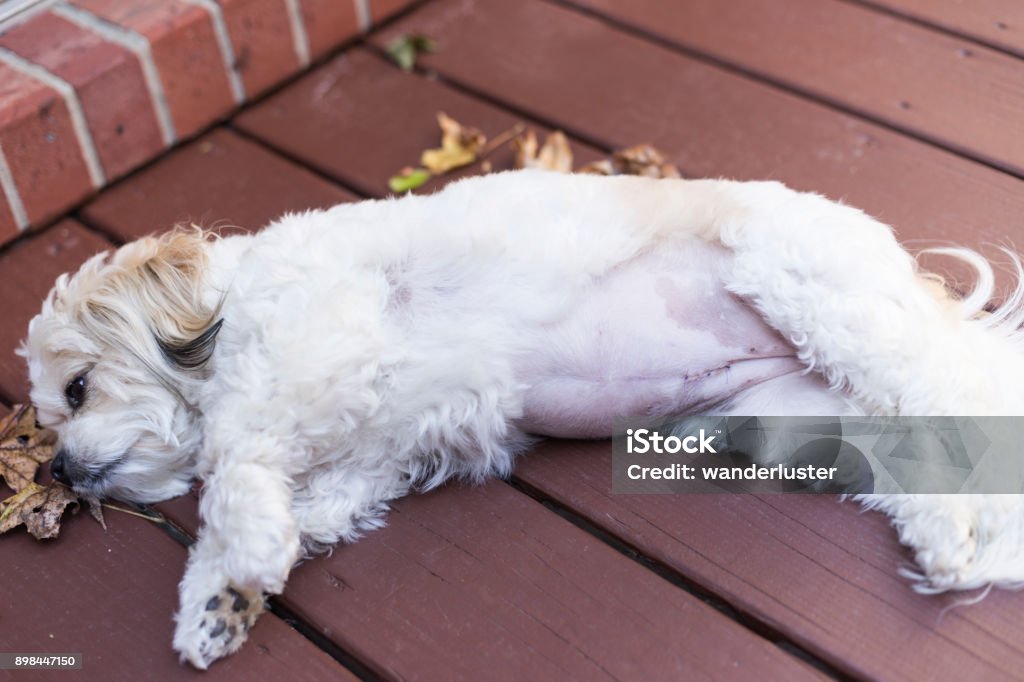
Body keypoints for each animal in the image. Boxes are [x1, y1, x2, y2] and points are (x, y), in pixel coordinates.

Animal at [18, 168, 1024, 663]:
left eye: (76, 391)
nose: (57, 469)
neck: (230, 311)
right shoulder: (387, 442)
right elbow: (318, 500)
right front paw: (230, 594)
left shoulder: (311, 357)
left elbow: (233, 465)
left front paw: (239, 558)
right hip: (795, 421)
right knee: (914, 468)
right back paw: (947, 543)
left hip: (840, 319)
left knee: (961, 404)